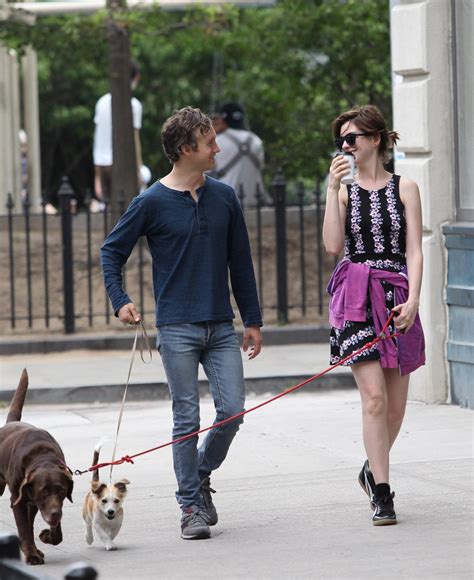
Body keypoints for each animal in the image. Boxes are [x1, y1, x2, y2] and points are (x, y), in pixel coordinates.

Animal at [0, 370, 73, 564]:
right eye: (43, 492)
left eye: (62, 491)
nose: (55, 514)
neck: (42, 457)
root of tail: (9, 423)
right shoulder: (18, 500)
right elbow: (23, 529)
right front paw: (31, 555)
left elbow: (55, 534)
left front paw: (47, 536)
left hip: (31, 503)